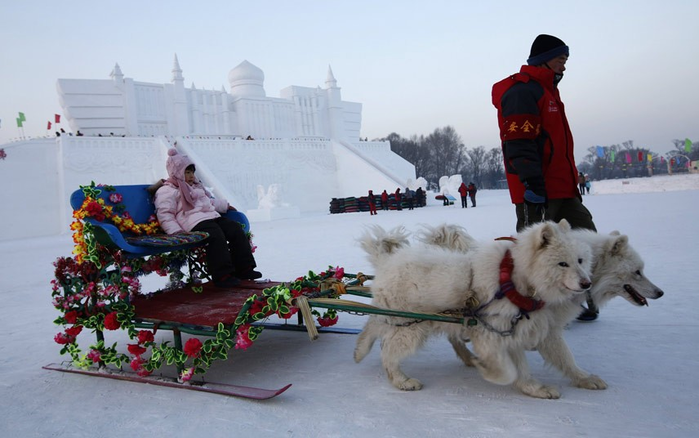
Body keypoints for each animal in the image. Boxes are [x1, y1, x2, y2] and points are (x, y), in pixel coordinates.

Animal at [352, 219, 592, 396]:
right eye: (562, 264)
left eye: (580, 260)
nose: (587, 284)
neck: (516, 282)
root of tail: (386, 261)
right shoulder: (491, 334)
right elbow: (509, 371)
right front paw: (487, 369)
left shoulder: (521, 330)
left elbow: (562, 359)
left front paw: (577, 380)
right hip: (410, 327)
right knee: (388, 352)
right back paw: (402, 381)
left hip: (400, 318)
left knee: (373, 325)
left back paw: (360, 350)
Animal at [418, 222, 664, 396]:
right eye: (637, 272)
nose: (660, 292)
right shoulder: (516, 325)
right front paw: (533, 387)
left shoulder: (546, 326)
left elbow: (565, 357)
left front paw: (583, 378)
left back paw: (469, 357)